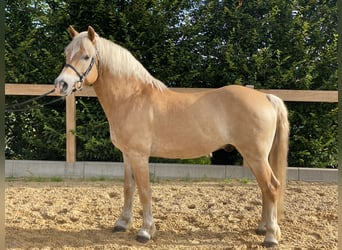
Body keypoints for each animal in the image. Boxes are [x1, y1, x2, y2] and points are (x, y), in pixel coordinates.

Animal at [54, 26, 288, 247]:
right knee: (264, 188)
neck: (131, 98)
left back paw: (270, 237)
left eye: (86, 56)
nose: (61, 84)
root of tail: (266, 97)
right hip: (254, 158)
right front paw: (122, 223)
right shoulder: (127, 155)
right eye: (66, 53)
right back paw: (263, 228)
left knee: (271, 187)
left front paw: (146, 231)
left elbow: (145, 190)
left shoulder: (139, 156)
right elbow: (128, 188)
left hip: (255, 156)